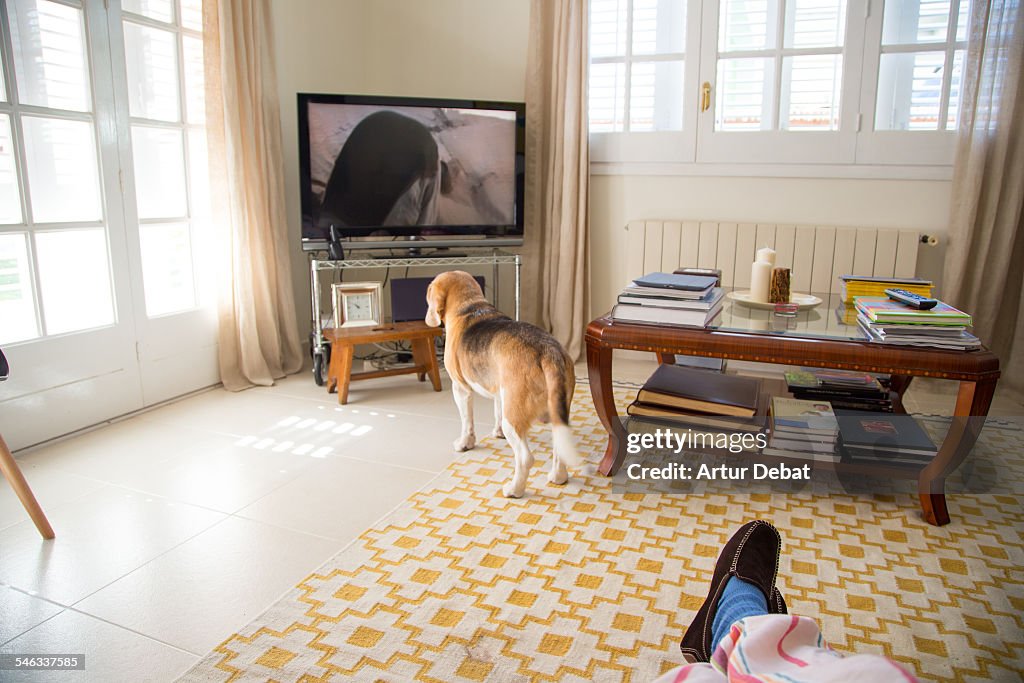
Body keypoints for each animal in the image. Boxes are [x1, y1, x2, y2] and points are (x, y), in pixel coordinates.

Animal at [425, 270, 585, 499]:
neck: (469, 307)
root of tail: (548, 351)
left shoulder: (460, 388)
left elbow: (467, 421)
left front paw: (465, 443)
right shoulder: (500, 392)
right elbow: (496, 411)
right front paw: (496, 432)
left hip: (514, 419)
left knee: (525, 458)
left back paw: (514, 489)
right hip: (555, 411)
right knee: (559, 447)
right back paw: (558, 477)